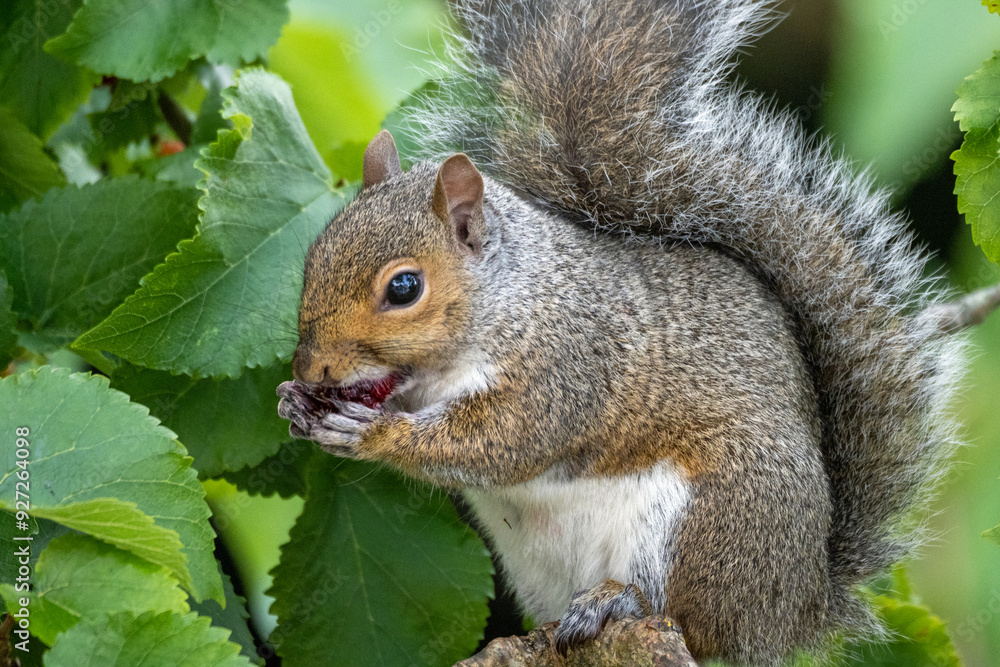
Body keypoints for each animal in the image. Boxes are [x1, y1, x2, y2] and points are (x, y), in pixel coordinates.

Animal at [275, 0, 982, 664]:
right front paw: (297, 405)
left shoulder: (566, 365)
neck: (507, 299)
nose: (311, 370)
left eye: (403, 288)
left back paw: (620, 604)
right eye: (312, 257)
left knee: (689, 619)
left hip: (713, 521)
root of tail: (796, 611)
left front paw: (372, 433)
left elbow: (500, 443)